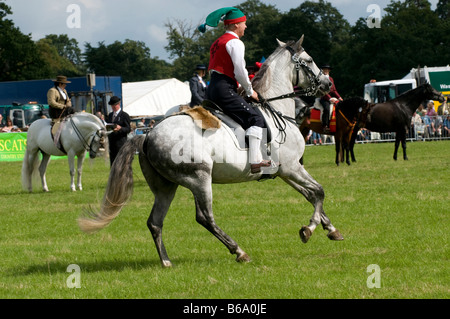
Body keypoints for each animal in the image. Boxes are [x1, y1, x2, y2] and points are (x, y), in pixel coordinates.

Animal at [78, 36, 344, 268]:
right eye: (309, 60)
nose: (327, 84)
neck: (276, 109)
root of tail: (147, 135)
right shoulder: (291, 168)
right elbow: (319, 192)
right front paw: (308, 230)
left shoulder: (284, 172)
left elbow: (311, 195)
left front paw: (331, 229)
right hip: (199, 178)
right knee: (204, 217)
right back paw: (239, 251)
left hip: (165, 186)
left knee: (155, 222)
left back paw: (166, 261)